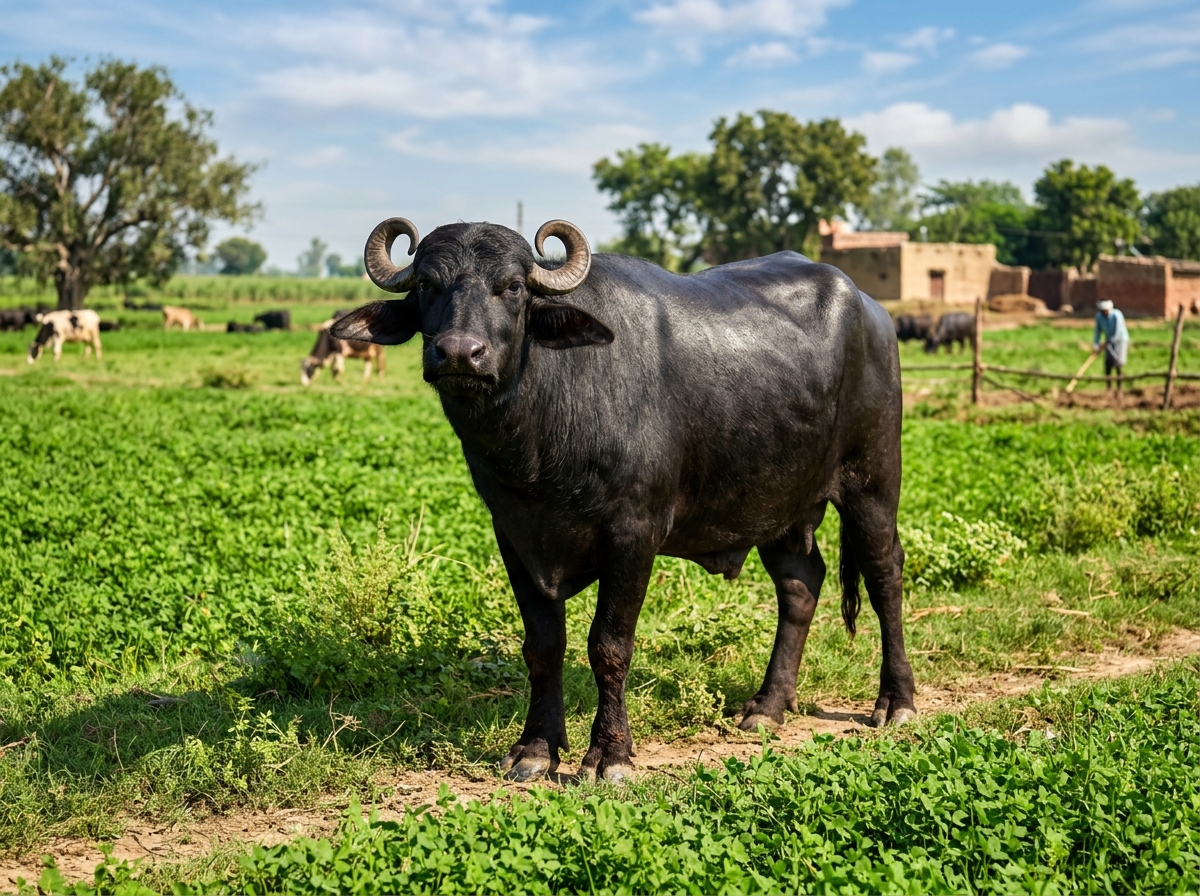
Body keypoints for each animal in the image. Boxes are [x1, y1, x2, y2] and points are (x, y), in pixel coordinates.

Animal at [334, 217, 915, 782]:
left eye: (513, 287)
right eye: (427, 285)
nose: (459, 353)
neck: (539, 444)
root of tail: (872, 310)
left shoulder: (634, 534)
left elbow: (608, 645)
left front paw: (610, 754)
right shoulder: (514, 535)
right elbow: (542, 645)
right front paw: (535, 748)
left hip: (872, 480)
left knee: (885, 573)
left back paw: (895, 702)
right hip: (777, 503)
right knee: (800, 585)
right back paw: (768, 706)